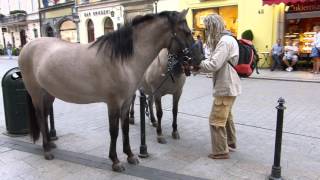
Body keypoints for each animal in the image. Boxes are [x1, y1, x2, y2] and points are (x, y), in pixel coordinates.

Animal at [17, 10, 201, 172]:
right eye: (186, 32)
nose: (198, 59)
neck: (123, 60)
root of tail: (27, 46)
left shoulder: (126, 101)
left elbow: (125, 128)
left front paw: (130, 155)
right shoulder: (113, 103)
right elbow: (114, 132)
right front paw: (115, 161)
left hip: (48, 93)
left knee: (46, 114)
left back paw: (50, 143)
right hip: (36, 93)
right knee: (41, 116)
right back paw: (47, 150)